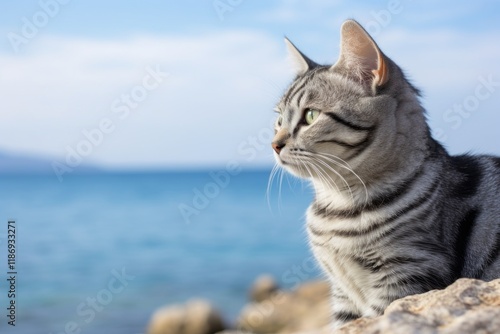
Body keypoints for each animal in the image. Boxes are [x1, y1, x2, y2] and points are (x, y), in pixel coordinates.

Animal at [272, 18, 500, 328]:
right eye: (278, 120)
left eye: (310, 116)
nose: (274, 144)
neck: (336, 202)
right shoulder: (343, 293)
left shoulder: (409, 272)